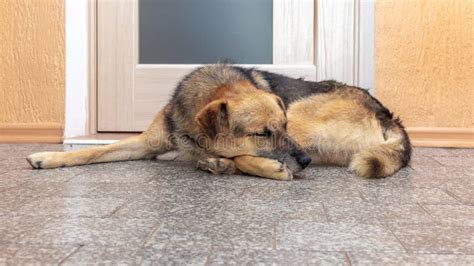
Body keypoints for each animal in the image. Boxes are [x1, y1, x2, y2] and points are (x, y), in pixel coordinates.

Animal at [26, 64, 412, 181]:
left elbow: (234, 151)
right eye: (263, 132)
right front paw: (50, 157)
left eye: (282, 127)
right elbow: (90, 152)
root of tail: (388, 115)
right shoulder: (146, 143)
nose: (302, 161)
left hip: (303, 114)